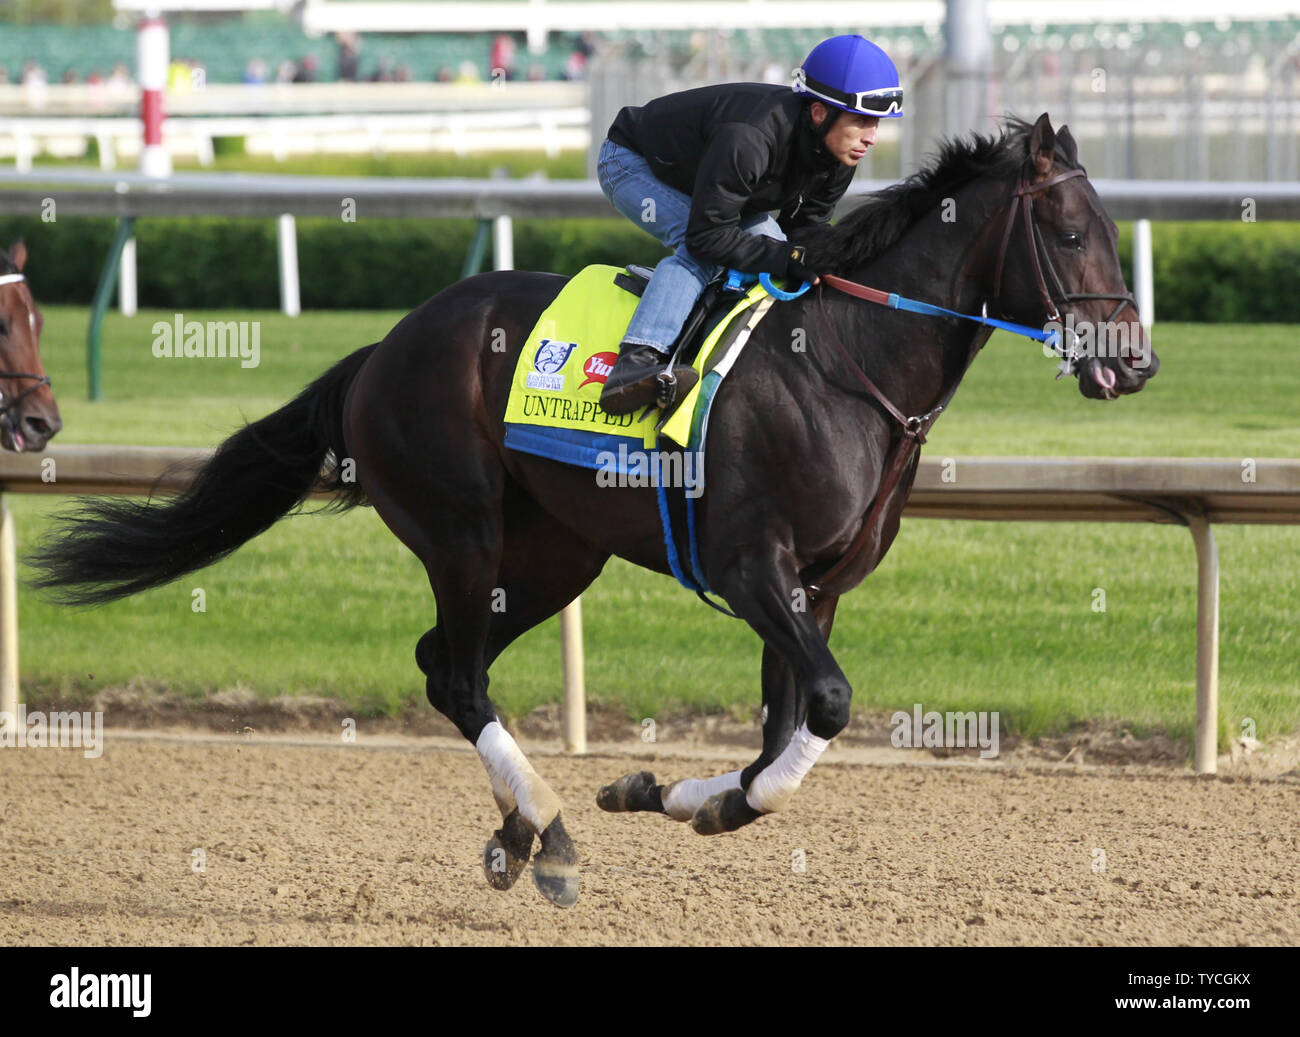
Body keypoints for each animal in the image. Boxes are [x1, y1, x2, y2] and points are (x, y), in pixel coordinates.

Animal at [30, 115, 1154, 909]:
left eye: (1113, 232)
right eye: (1067, 232)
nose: (1133, 363)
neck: (849, 362)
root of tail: (387, 343)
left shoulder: (815, 586)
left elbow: (781, 732)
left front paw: (670, 794)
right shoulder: (752, 565)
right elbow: (827, 706)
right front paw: (662, 798)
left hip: (553, 557)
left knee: (443, 663)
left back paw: (519, 833)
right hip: (461, 531)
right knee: (458, 674)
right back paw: (551, 833)